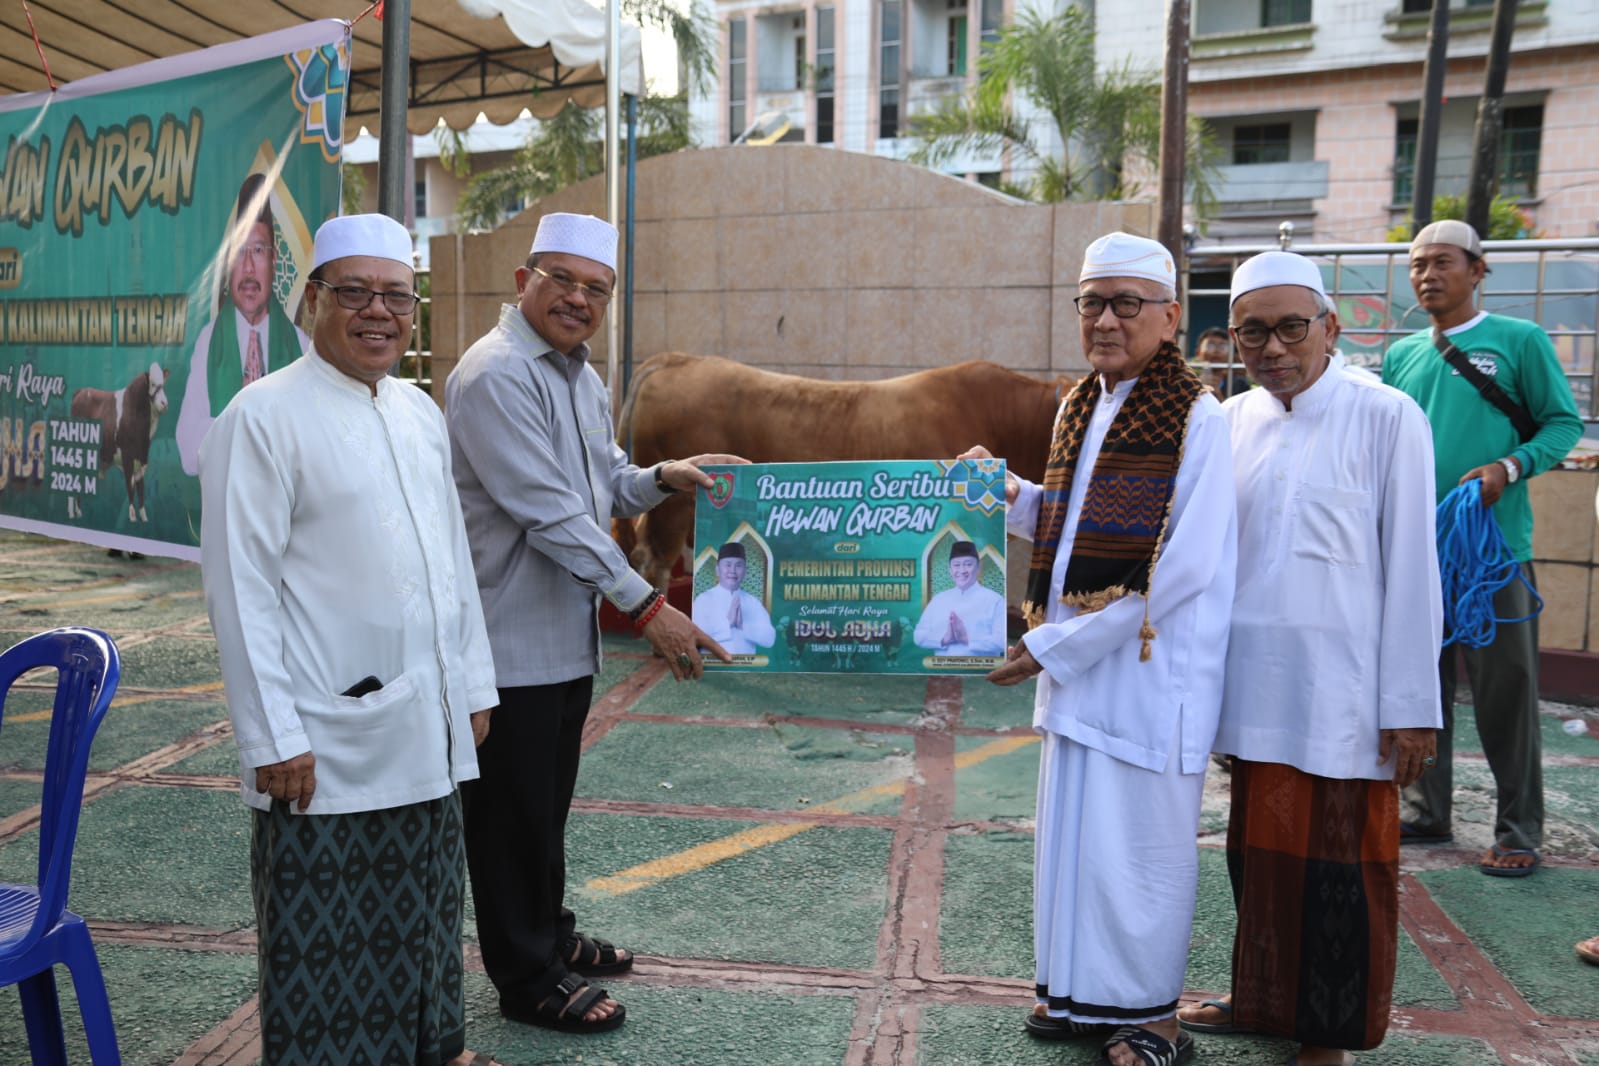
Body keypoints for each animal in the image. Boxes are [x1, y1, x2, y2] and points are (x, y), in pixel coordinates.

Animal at [70, 361, 168, 524]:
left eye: (163, 383)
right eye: (153, 384)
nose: (164, 403)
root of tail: (81, 391)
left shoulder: (142, 458)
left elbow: (141, 488)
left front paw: (144, 517)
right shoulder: (127, 455)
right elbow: (130, 485)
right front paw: (132, 517)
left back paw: (75, 513)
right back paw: (74, 512)